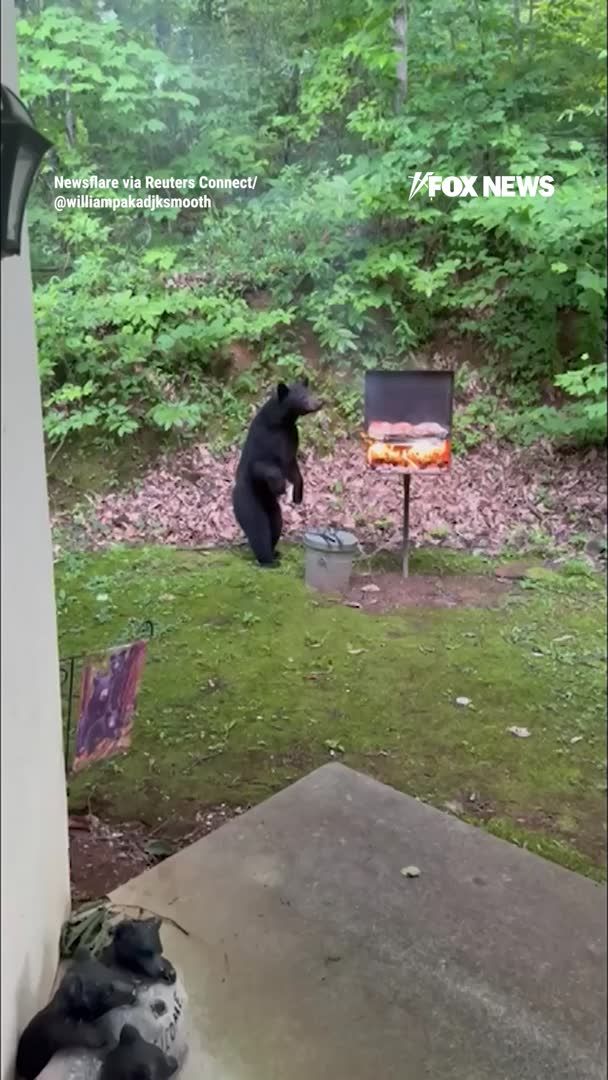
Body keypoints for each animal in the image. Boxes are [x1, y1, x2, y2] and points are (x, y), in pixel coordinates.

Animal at [232, 378, 322, 566]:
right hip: (248, 501)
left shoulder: (291, 437)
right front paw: (280, 486)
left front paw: (297, 495)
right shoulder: (264, 440)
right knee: (258, 528)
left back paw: (274, 552)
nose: (319, 402)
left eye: (310, 392)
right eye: (302, 396)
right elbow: (262, 465)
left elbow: (291, 466)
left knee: (276, 523)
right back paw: (268, 560)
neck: (281, 423)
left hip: (271, 506)